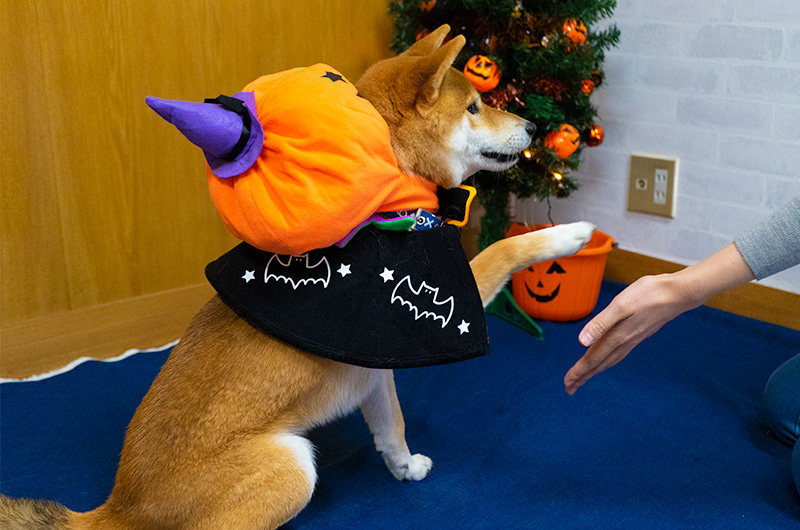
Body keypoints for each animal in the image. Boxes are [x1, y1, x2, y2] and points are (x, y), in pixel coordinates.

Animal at [1, 24, 592, 528]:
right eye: (474, 106)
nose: (534, 126)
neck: (391, 195)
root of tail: (119, 507)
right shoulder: (441, 293)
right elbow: (503, 249)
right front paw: (570, 235)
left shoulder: (376, 364)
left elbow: (392, 427)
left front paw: (405, 468)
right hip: (292, 468)